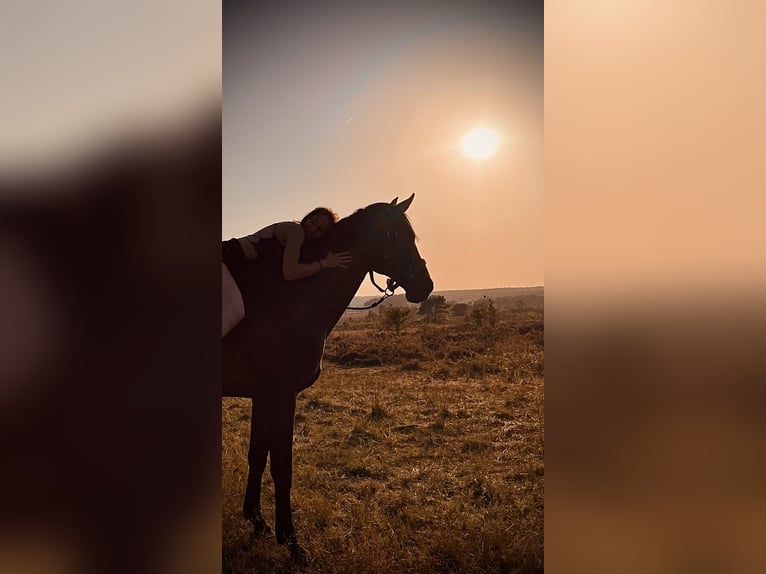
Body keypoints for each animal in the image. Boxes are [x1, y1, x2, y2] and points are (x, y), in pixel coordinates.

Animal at [225, 194, 436, 564]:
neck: (289, 296)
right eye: (397, 235)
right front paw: (291, 542)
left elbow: (257, 455)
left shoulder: (264, 396)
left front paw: (257, 522)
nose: (425, 285)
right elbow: (281, 466)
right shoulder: (280, 394)